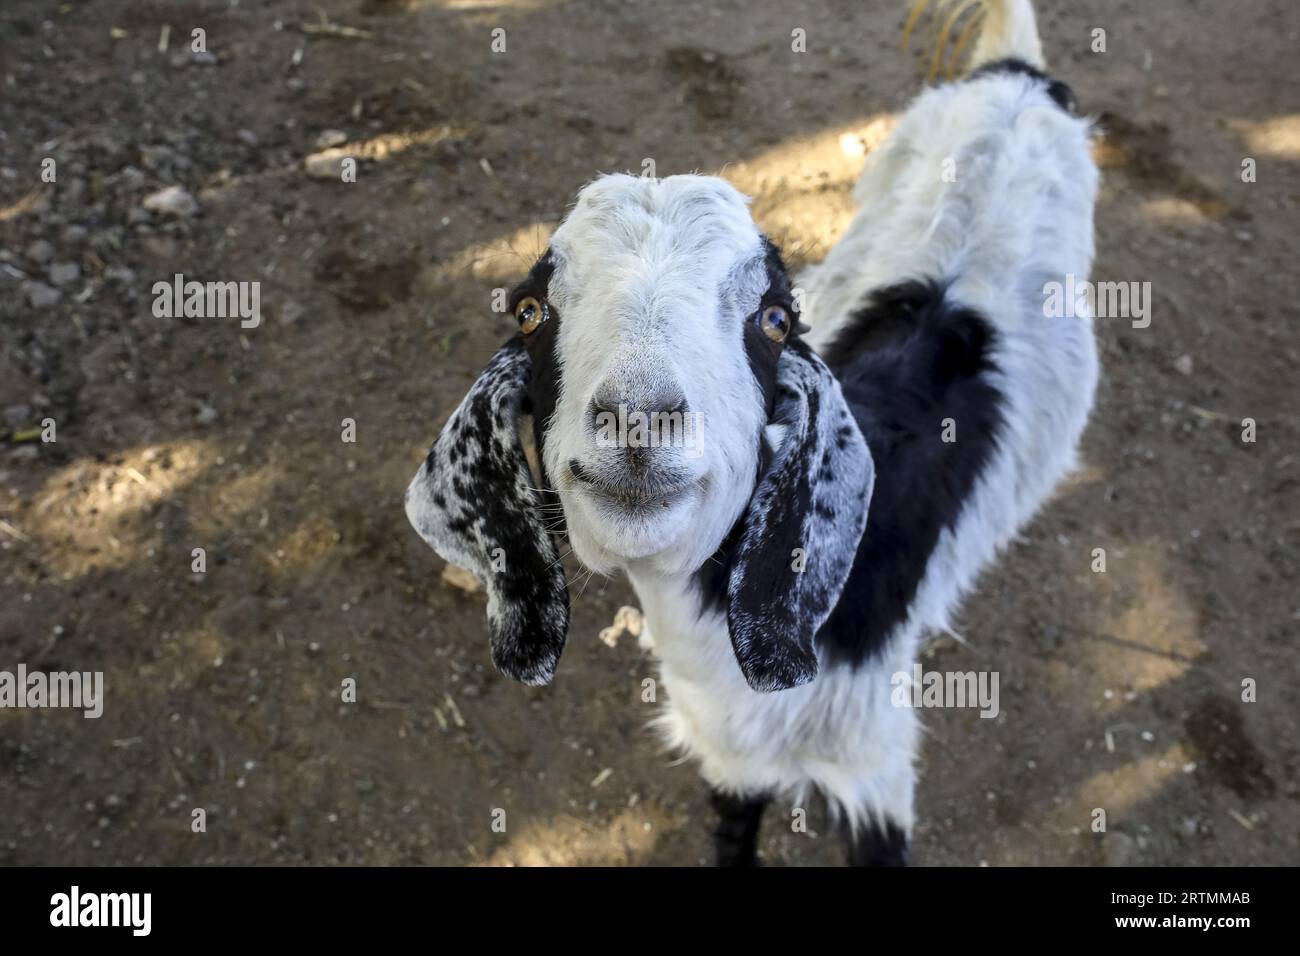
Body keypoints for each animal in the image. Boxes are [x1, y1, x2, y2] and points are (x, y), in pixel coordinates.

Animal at [405, 0, 1098, 866]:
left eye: (773, 318)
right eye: (529, 311)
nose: (640, 418)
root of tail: (1017, 75)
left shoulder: (871, 764)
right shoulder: (731, 757)